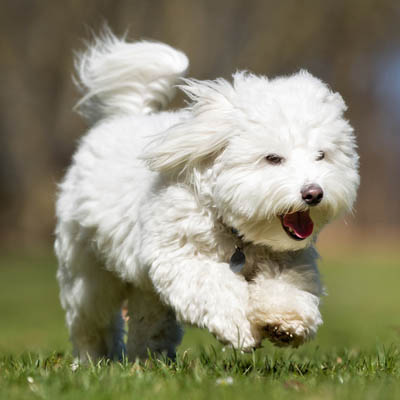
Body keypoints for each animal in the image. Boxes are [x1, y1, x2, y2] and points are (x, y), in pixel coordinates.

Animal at [54, 32, 360, 360]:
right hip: (87, 272)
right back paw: (93, 358)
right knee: (92, 320)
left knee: (148, 318)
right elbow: (216, 287)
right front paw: (240, 327)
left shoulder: (288, 260)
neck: (236, 232)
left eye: (321, 155)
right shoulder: (181, 257)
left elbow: (286, 287)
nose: (313, 193)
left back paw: (149, 357)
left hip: (143, 287)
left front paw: (285, 321)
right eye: (273, 158)